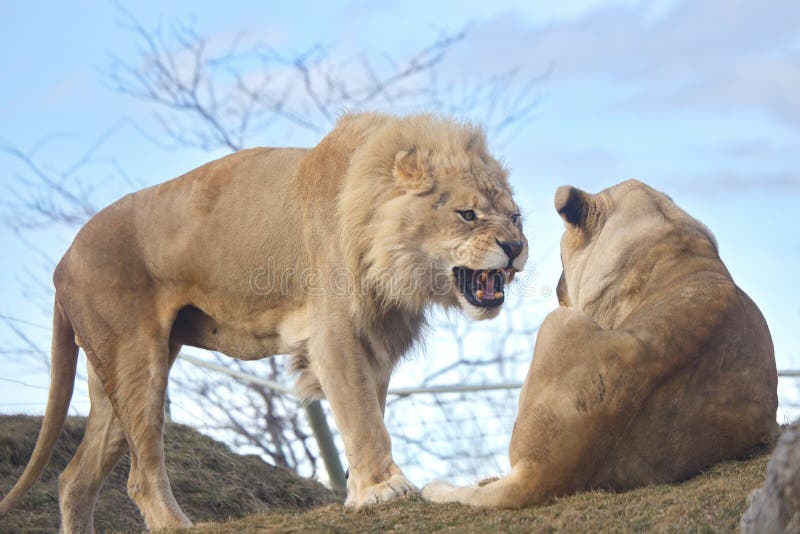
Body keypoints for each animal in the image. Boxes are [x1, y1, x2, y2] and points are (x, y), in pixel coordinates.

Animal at [1, 112, 532, 532]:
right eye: (467, 214)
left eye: (516, 217)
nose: (515, 247)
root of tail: (63, 261)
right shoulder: (333, 334)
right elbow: (363, 417)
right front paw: (384, 489)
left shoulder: (375, 339)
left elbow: (369, 412)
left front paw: (360, 491)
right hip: (137, 360)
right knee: (139, 475)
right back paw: (178, 524)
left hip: (109, 372)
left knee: (74, 479)